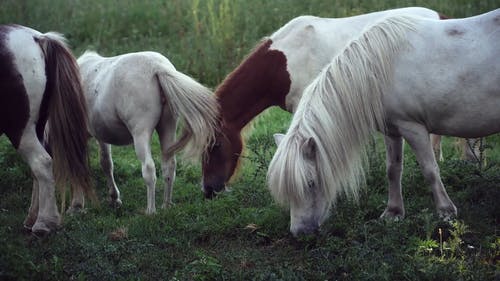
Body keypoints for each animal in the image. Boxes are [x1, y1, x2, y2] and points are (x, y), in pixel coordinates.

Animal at [0, 24, 93, 234]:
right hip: (37, 126)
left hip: (20, 129)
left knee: (42, 162)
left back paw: (44, 223)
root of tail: (38, 38)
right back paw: (33, 218)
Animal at [72, 50, 219, 212]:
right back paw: (166, 205)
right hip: (167, 128)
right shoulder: (101, 136)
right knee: (169, 165)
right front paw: (114, 198)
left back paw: (151, 211)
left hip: (141, 133)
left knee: (149, 169)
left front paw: (76, 205)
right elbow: (106, 163)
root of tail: (157, 67)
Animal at [270, 9, 500, 234]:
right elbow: (393, 170)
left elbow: (430, 170)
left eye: (310, 183)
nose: (299, 232)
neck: (378, 71)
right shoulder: (393, 130)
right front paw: (393, 213)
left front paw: (446, 212)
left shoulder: (413, 128)